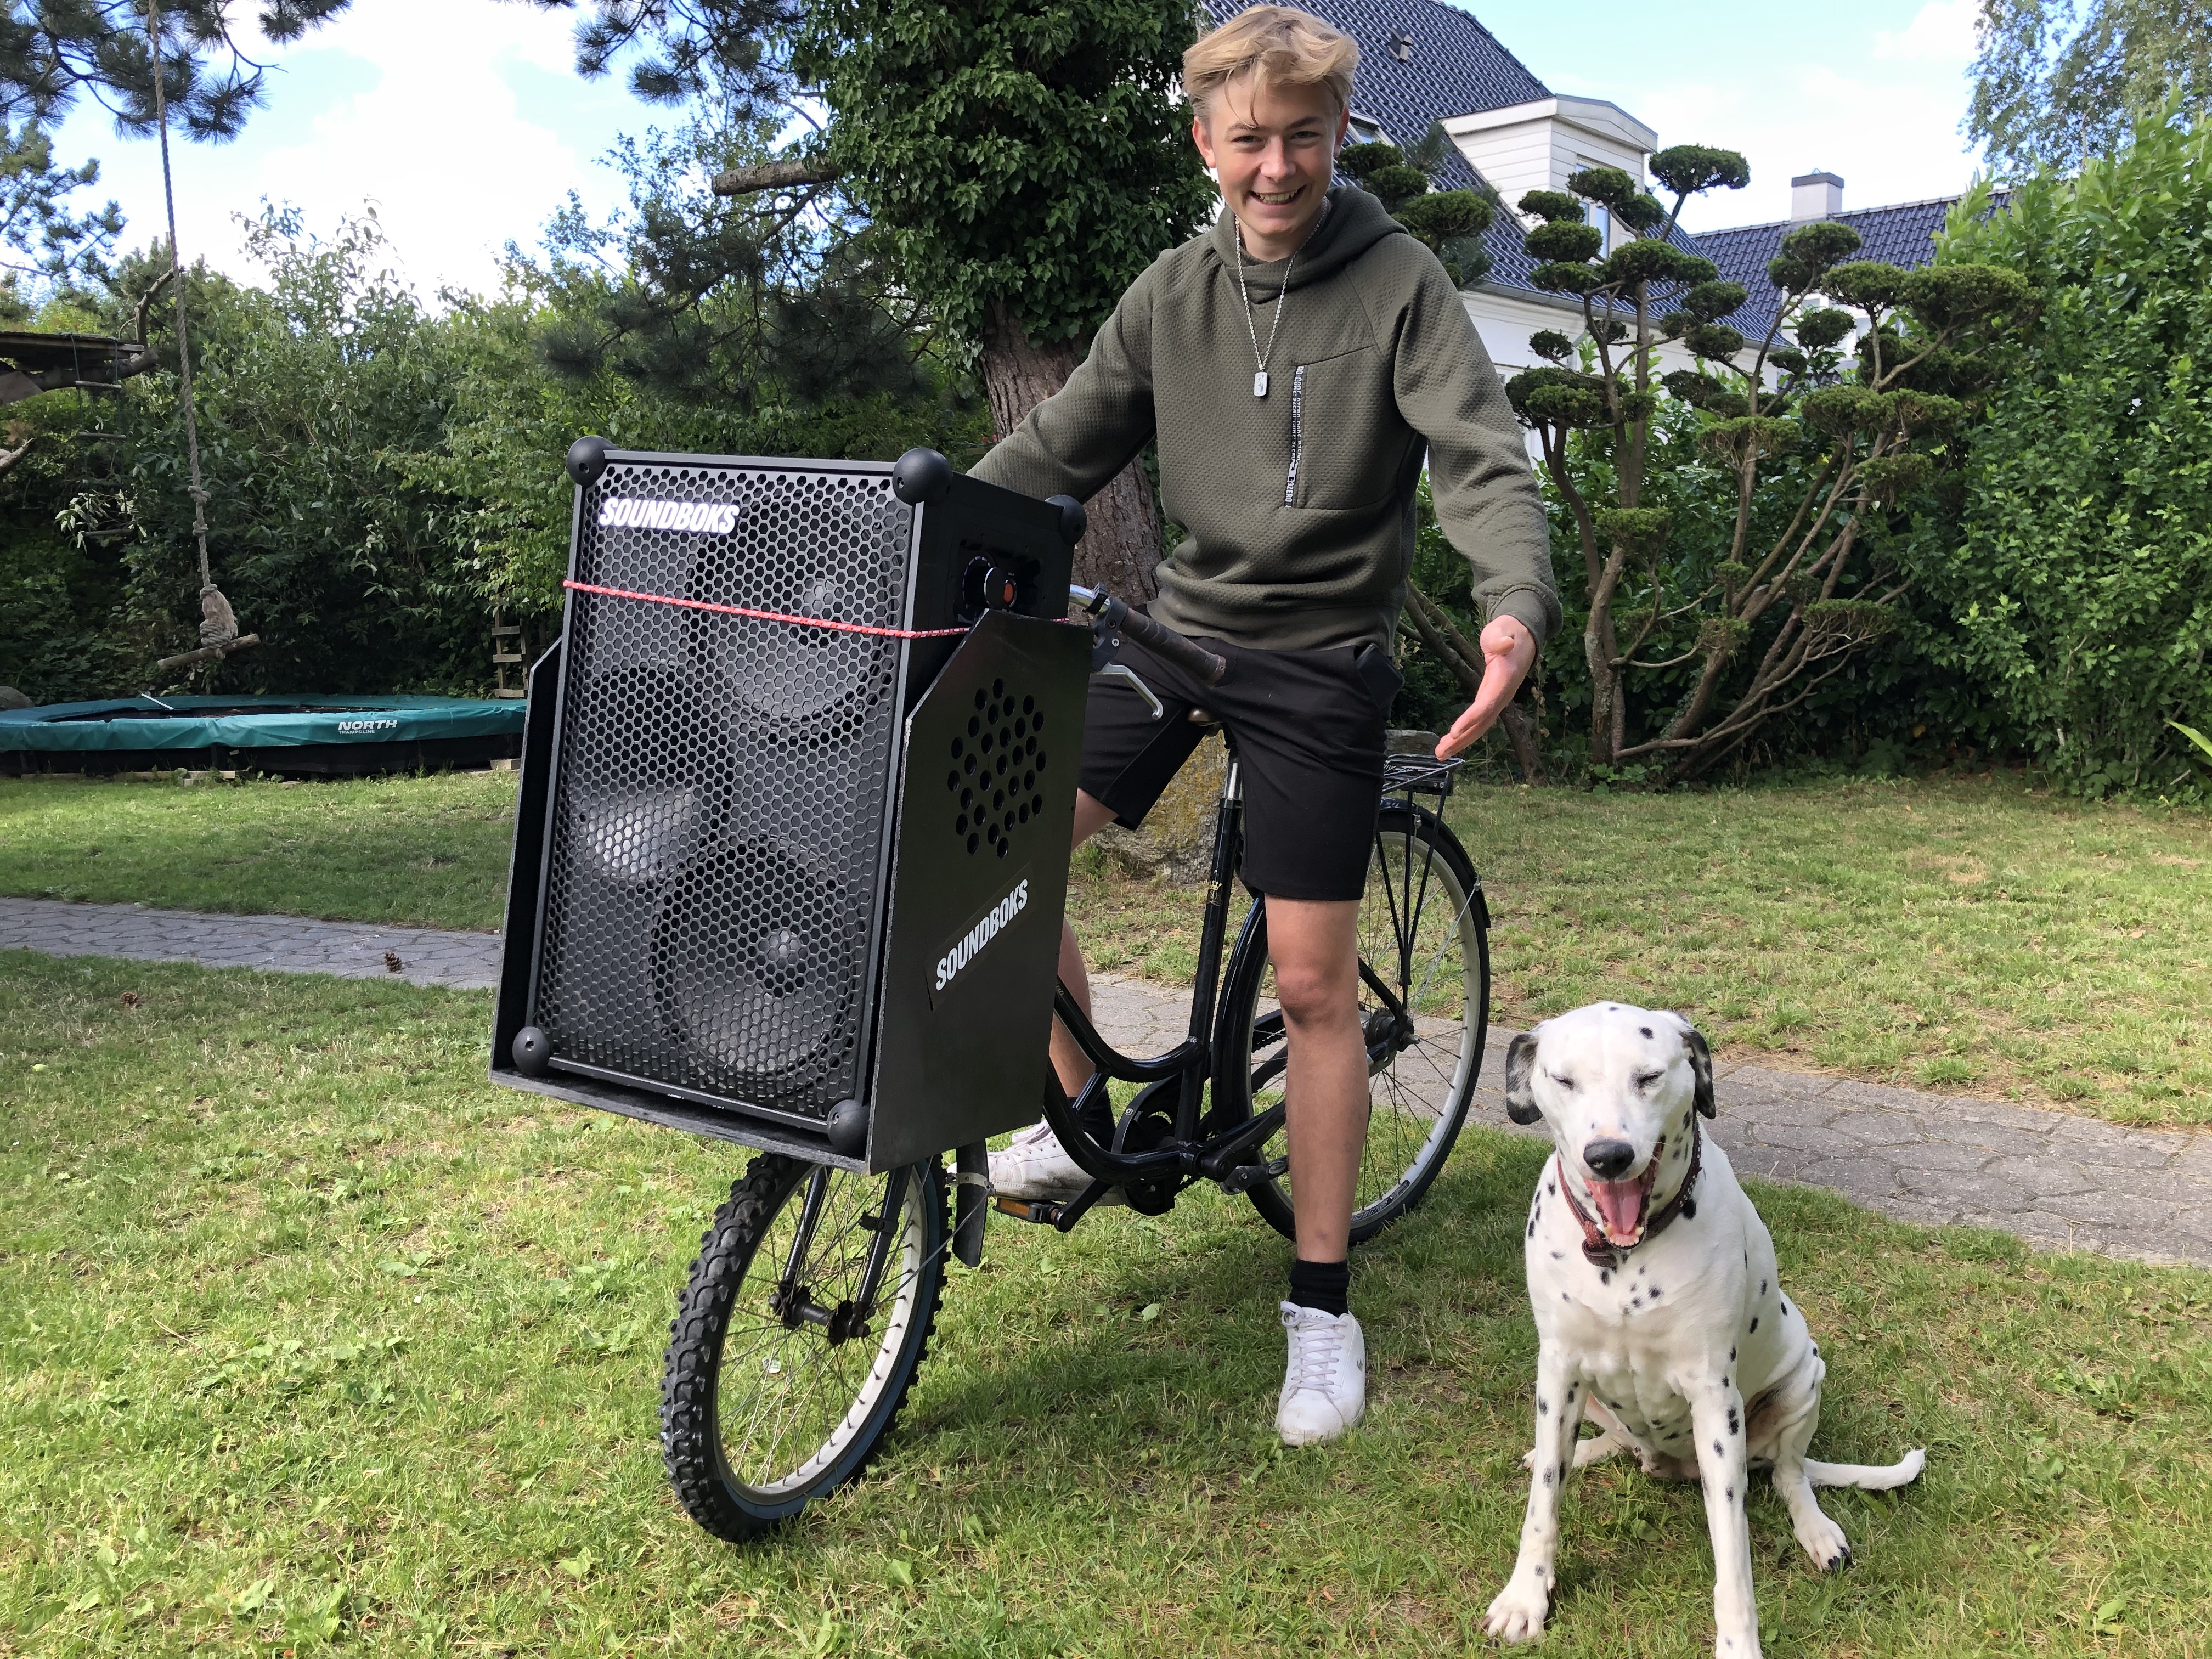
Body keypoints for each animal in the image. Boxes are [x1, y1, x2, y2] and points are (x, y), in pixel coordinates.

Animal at [1486, 1008, 1920, 1654]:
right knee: (1614, 1442)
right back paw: (1586, 1450)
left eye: (1648, 1077)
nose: (1608, 1155)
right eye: (1564, 1080)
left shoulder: (1715, 1399)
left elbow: (1733, 1553)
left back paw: (1817, 1530)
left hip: (1803, 1378)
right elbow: (1543, 1500)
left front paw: (1739, 1641)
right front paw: (1526, 1597)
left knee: (1791, 1475)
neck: (1624, 1258)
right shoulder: (1558, 1372)